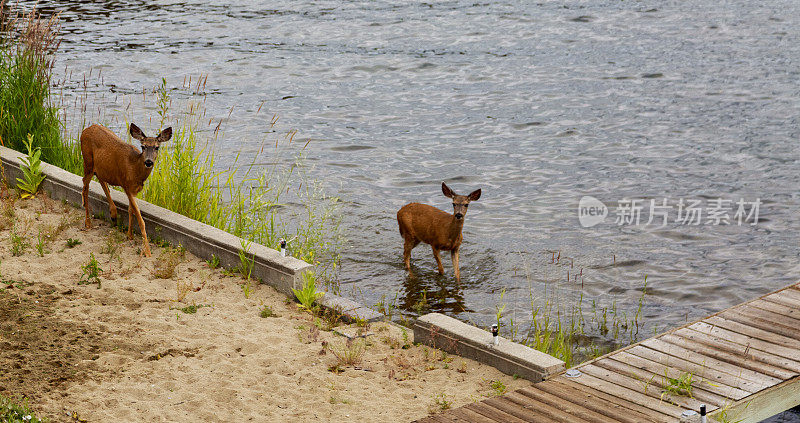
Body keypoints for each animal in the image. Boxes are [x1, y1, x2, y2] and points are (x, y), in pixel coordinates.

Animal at [80, 122, 172, 258]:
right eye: (143, 146)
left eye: (157, 147)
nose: (148, 162)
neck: (135, 170)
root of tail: (86, 129)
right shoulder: (127, 186)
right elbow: (141, 220)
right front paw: (147, 252)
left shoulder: (133, 190)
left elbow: (130, 210)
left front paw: (130, 235)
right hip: (88, 162)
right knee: (85, 186)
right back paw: (88, 223)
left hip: (100, 167)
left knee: (100, 180)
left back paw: (113, 214)